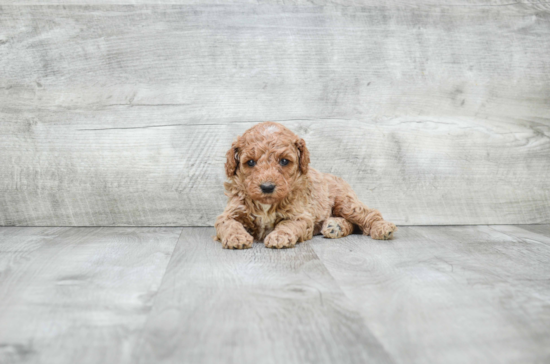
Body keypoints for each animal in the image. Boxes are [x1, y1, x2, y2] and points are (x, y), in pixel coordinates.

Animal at [215, 121, 396, 249]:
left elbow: (287, 224)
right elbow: (229, 224)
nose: (267, 187)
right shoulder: (231, 211)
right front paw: (236, 237)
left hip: (345, 202)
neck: (267, 206)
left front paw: (279, 236)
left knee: (368, 214)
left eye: (284, 161)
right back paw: (335, 226)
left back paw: (383, 227)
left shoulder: (300, 215)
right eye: (250, 162)